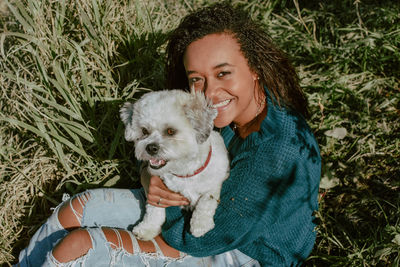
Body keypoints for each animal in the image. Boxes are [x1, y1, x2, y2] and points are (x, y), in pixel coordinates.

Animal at [120, 91, 230, 242]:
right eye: (144, 131)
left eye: (171, 131)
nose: (151, 148)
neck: (184, 171)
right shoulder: (158, 189)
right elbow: (154, 209)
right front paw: (147, 228)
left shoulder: (215, 181)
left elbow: (207, 200)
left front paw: (200, 225)